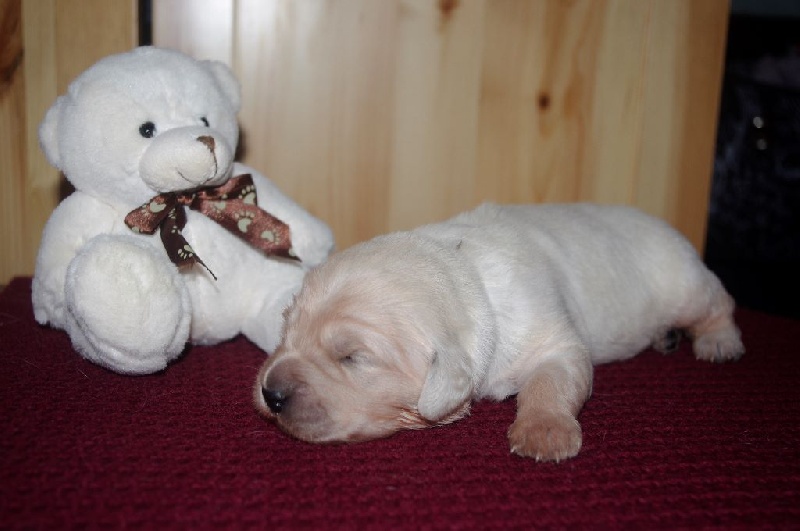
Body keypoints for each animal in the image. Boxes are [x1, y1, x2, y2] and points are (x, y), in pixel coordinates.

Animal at [255, 204, 744, 462]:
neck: (464, 276)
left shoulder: (556, 342)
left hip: (686, 284)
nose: (271, 394)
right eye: (286, 332)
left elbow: (551, 380)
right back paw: (666, 338)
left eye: (352, 358)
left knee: (720, 304)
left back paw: (719, 342)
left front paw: (544, 432)